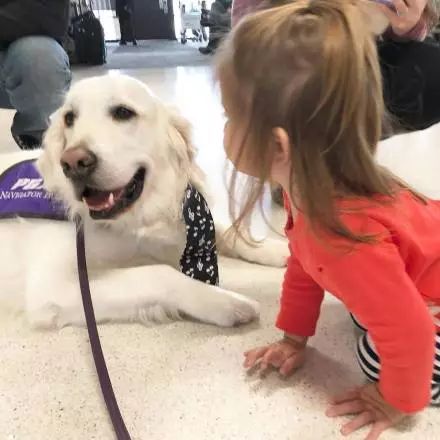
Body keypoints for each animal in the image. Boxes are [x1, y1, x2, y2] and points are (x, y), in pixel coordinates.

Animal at [0, 75, 288, 330]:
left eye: (123, 112)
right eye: (69, 118)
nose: (73, 163)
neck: (128, 220)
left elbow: (227, 230)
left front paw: (273, 248)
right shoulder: (54, 287)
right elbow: (159, 273)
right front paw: (226, 301)